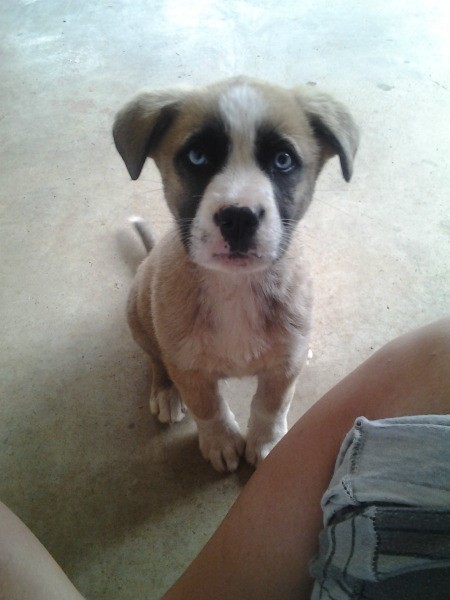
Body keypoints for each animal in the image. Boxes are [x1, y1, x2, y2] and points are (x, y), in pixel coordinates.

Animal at [113, 75, 358, 472]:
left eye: (283, 160)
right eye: (197, 156)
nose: (239, 218)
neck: (235, 285)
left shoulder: (284, 365)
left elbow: (271, 405)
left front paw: (266, 441)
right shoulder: (187, 366)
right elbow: (207, 407)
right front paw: (222, 441)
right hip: (138, 313)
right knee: (155, 357)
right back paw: (165, 391)